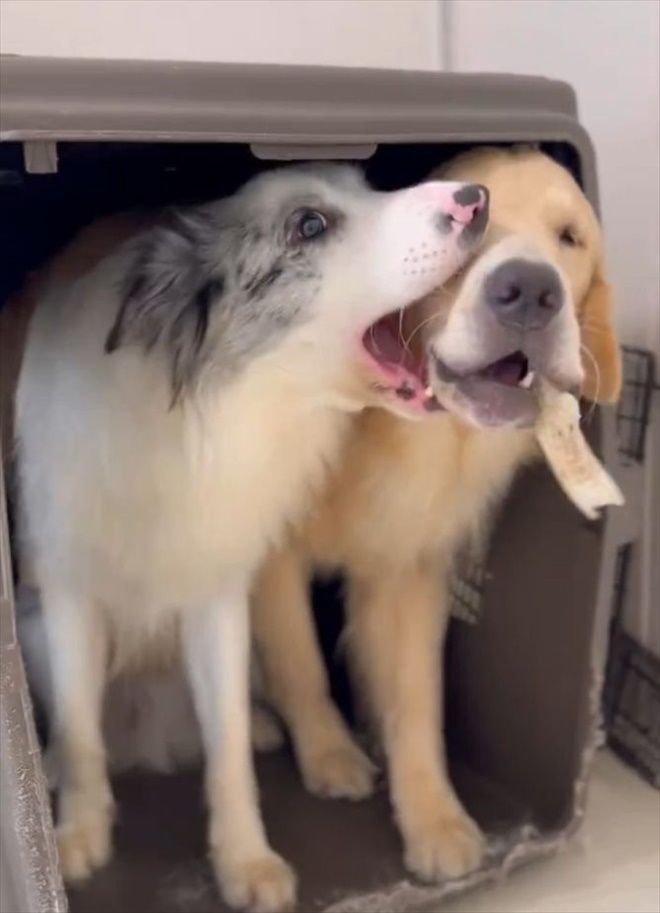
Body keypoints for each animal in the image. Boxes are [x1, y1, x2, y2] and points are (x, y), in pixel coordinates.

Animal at [13, 162, 487, 911]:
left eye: (367, 184)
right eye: (309, 225)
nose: (474, 200)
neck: (203, 422)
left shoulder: (220, 597)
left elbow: (228, 747)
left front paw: (246, 861)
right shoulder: (68, 597)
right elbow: (85, 733)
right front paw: (74, 841)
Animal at [250, 147, 622, 884]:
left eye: (569, 237)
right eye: (471, 229)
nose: (529, 291)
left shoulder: (407, 565)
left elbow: (418, 697)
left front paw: (435, 815)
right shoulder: (271, 557)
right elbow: (300, 663)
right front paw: (330, 753)